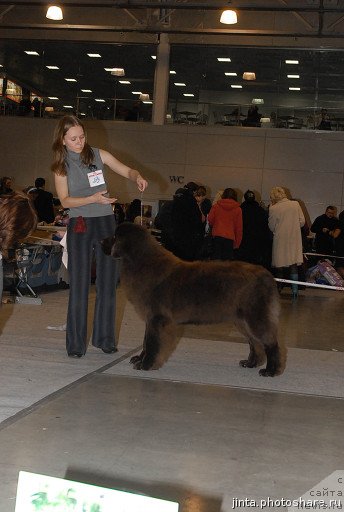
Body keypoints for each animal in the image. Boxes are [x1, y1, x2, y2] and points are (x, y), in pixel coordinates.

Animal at [101, 223, 284, 376]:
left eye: (115, 236)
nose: (102, 240)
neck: (141, 262)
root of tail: (267, 274)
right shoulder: (150, 319)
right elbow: (146, 341)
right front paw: (139, 358)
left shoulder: (156, 318)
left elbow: (152, 342)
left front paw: (145, 365)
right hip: (242, 321)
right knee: (254, 342)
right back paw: (250, 363)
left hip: (255, 317)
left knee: (271, 343)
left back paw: (270, 371)